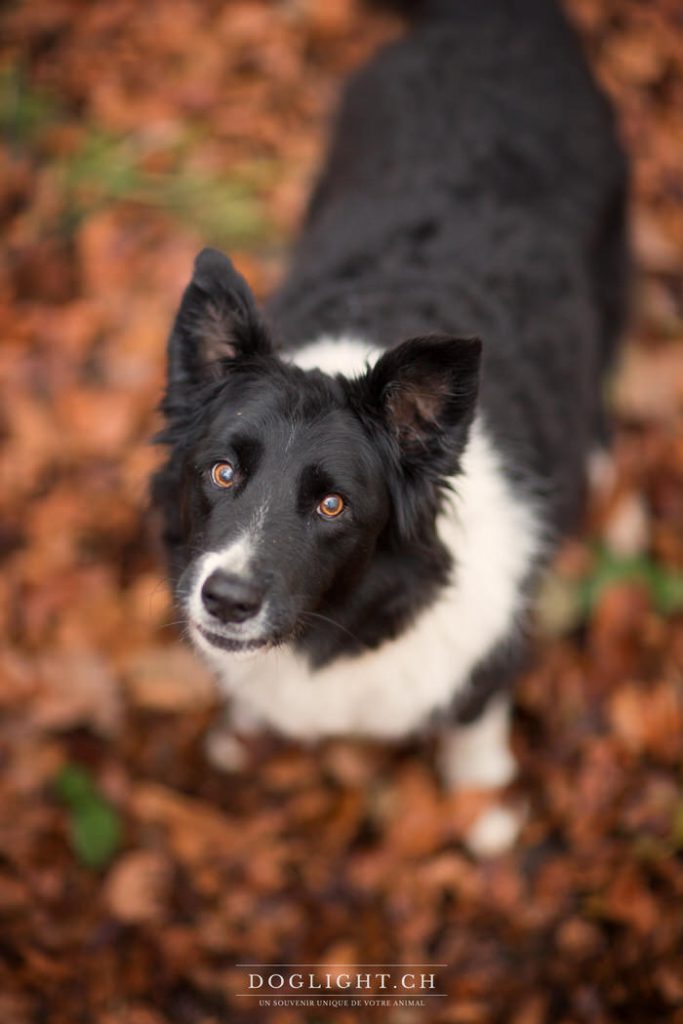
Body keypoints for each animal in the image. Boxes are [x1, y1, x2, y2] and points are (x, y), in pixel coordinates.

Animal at [156, 0, 630, 847]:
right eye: (222, 471)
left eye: (332, 504)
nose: (225, 600)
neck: (338, 628)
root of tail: (498, 20)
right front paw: (241, 731)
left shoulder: (482, 650)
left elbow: (474, 723)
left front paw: (484, 811)